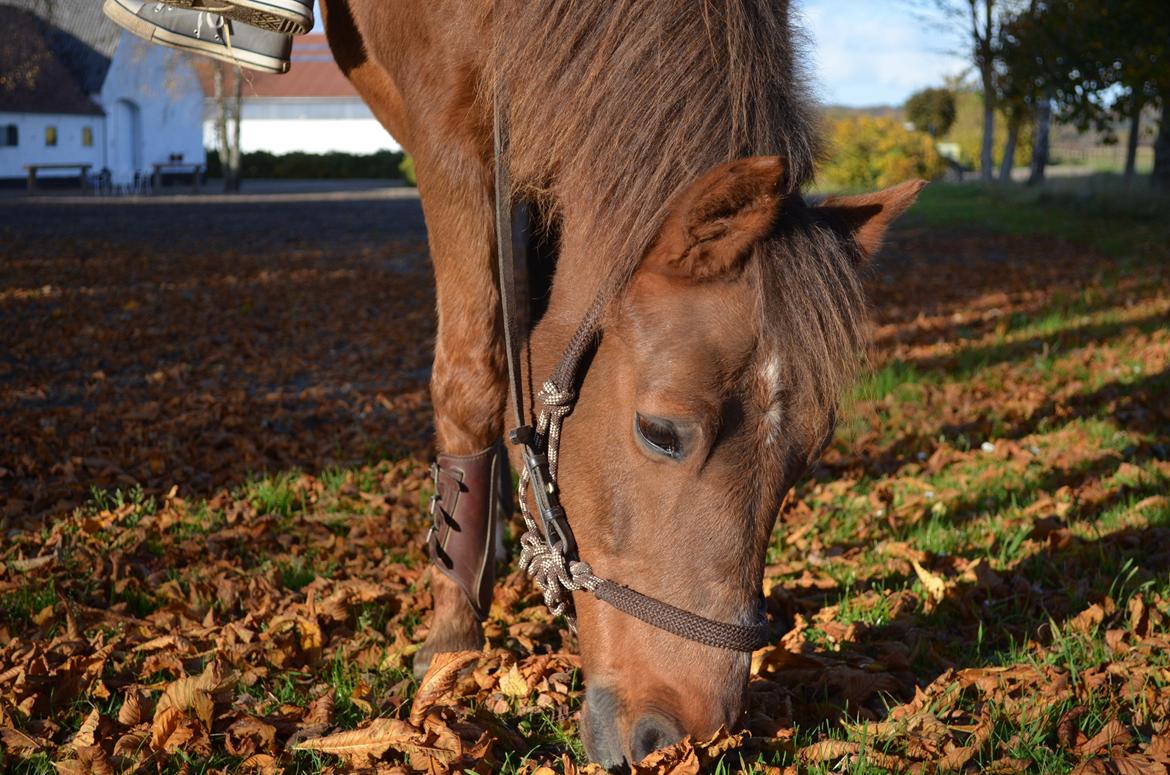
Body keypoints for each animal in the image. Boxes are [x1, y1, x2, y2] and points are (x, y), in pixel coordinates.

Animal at [320, 0, 921, 767]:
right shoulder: (445, 128)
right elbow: (474, 367)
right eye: (660, 433)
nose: (680, 739)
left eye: (807, 455)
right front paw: (452, 635)